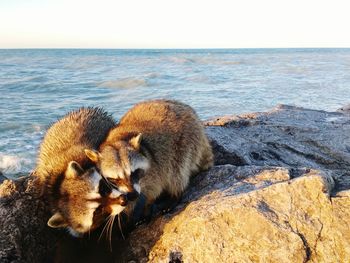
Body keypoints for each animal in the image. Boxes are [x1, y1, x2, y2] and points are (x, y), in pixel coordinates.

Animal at [85, 100, 213, 222]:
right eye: (114, 179)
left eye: (134, 172)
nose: (133, 195)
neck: (118, 139)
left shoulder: (155, 164)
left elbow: (154, 188)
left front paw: (147, 205)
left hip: (187, 139)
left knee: (177, 170)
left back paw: (176, 194)